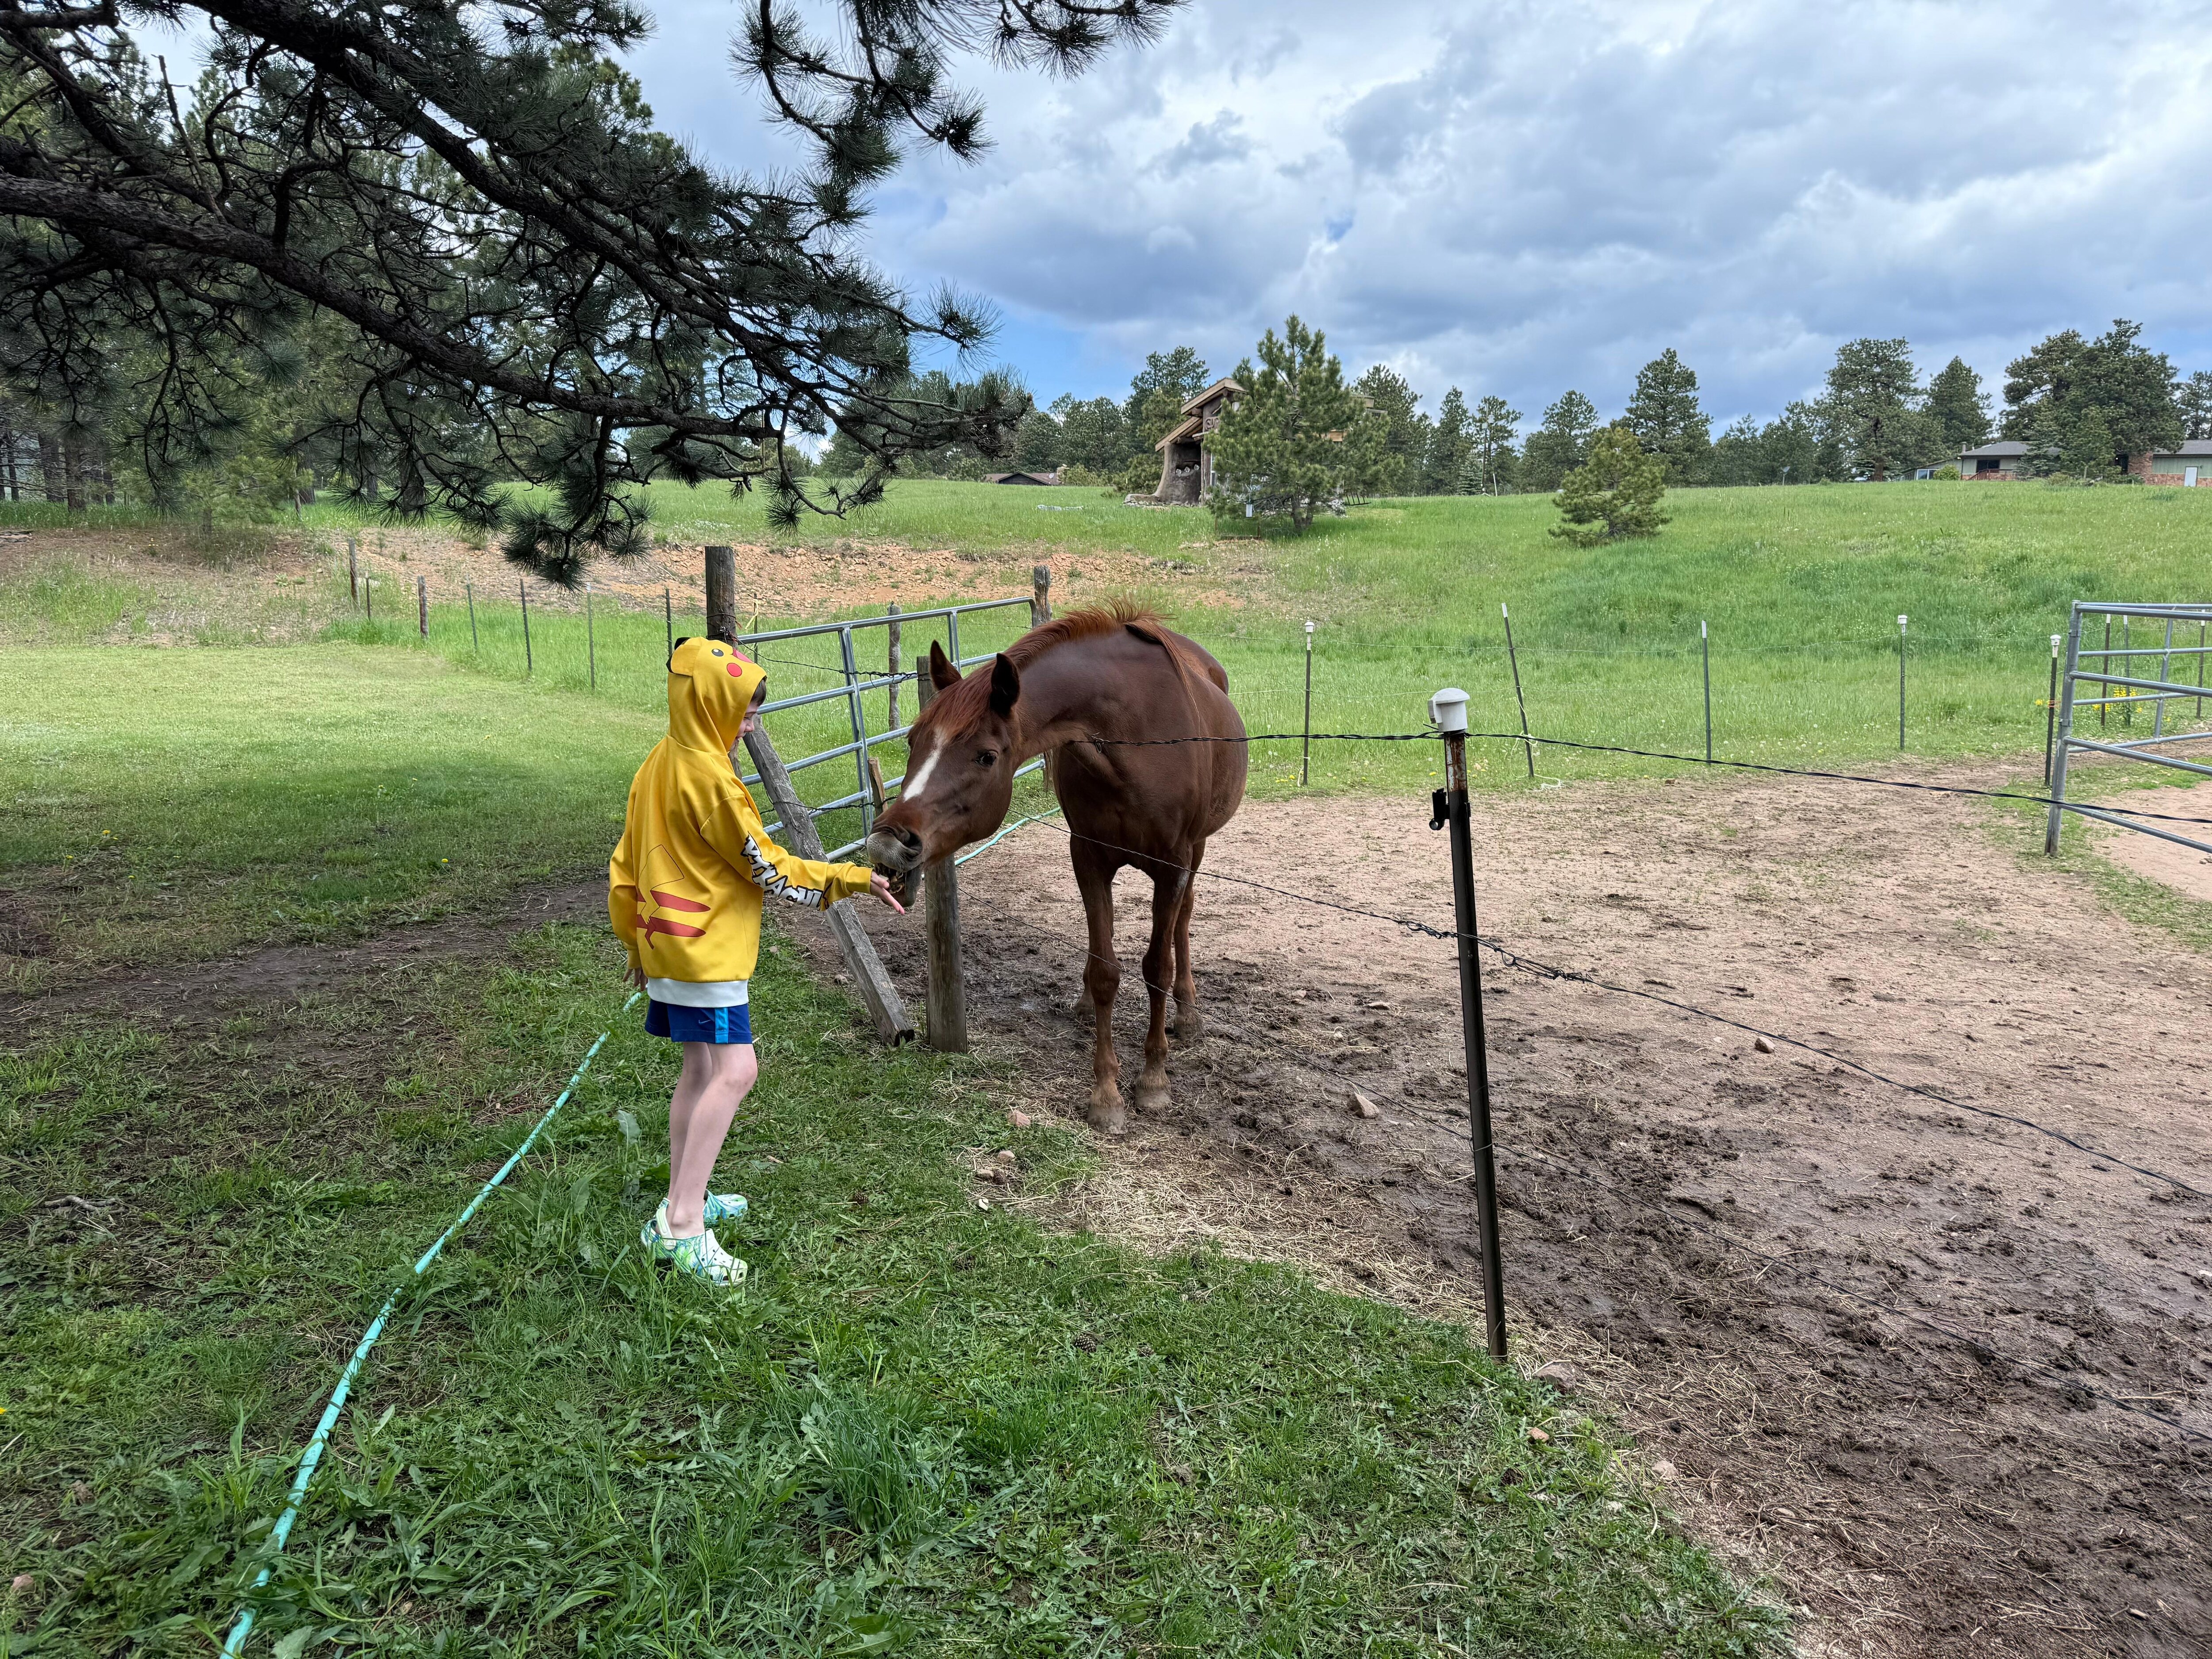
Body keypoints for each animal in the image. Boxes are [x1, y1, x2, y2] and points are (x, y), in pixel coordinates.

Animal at [864, 603, 1247, 1132]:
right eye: (912, 740)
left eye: (986, 756)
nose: (887, 844)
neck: (1138, 738)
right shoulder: (1087, 858)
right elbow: (1105, 970)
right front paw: (1106, 1094)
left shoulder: (1172, 866)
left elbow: (1157, 968)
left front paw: (1153, 1081)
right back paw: (1087, 1004)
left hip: (1198, 849)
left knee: (1183, 922)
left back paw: (1188, 1014)